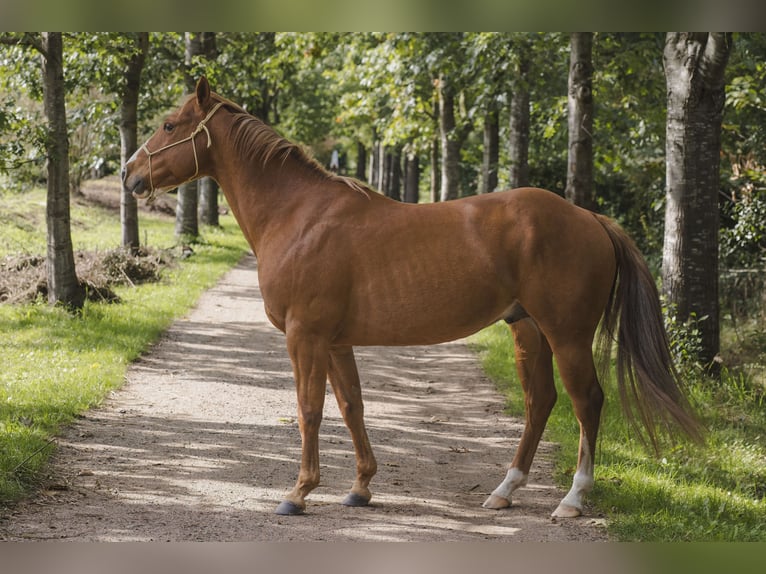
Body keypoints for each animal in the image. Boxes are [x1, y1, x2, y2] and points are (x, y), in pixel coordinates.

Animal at [122, 77, 702, 518]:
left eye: (169, 125)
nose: (128, 173)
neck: (299, 215)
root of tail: (590, 217)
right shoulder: (335, 342)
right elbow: (352, 407)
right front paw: (360, 487)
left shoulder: (305, 337)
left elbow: (310, 409)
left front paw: (299, 492)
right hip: (528, 330)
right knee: (541, 402)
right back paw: (504, 491)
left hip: (568, 336)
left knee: (587, 403)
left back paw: (573, 500)